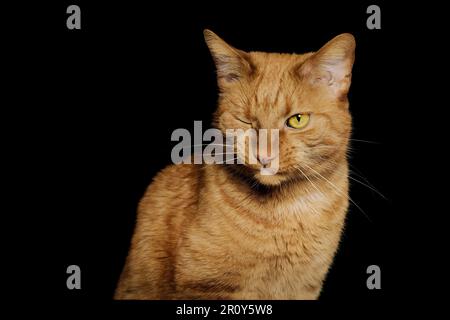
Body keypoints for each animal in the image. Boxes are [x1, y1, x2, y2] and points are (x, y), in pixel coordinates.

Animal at [115, 30, 356, 300]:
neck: (287, 213)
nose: (264, 156)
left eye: (297, 120)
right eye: (246, 121)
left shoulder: (304, 287)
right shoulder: (206, 288)